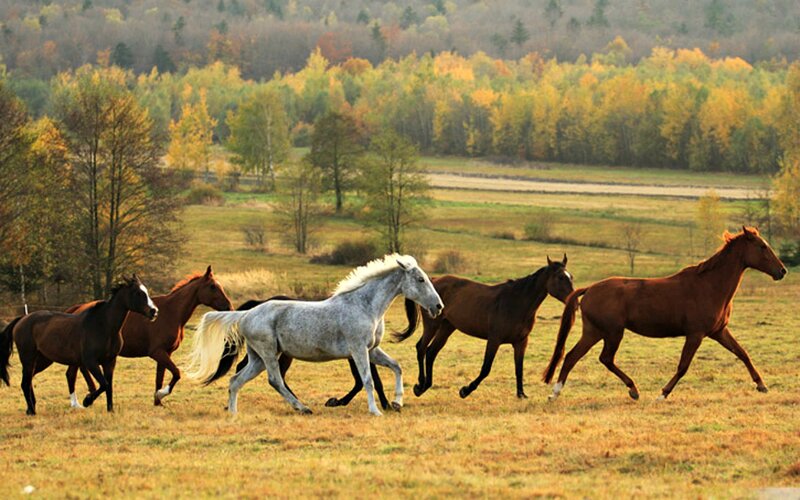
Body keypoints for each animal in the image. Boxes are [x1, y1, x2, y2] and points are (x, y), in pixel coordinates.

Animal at [0, 276, 158, 415]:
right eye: (138, 293)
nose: (154, 311)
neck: (104, 326)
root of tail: (23, 319)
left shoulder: (109, 362)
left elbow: (109, 386)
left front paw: (110, 410)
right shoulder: (91, 362)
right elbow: (104, 384)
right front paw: (87, 401)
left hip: (43, 360)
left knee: (28, 380)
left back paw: (31, 407)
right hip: (28, 358)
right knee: (25, 382)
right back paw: (32, 411)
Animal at [64, 266, 232, 407]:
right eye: (212, 287)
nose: (229, 307)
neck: (171, 312)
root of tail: (77, 309)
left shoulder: (166, 353)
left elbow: (160, 378)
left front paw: (158, 401)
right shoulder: (157, 352)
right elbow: (176, 373)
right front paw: (162, 394)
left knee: (76, 372)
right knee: (74, 373)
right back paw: (85, 400)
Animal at [211, 297, 391, 410]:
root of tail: (252, 309)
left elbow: (367, 379)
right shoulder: (357, 352)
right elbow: (366, 380)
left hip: (269, 355)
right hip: (274, 353)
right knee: (274, 378)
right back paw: (299, 405)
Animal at [393, 255, 574, 400]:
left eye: (570, 276)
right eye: (560, 277)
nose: (573, 297)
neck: (516, 302)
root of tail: (434, 280)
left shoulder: (521, 342)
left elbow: (519, 368)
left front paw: (521, 394)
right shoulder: (494, 340)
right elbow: (486, 368)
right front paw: (465, 390)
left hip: (447, 328)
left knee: (431, 352)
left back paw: (426, 385)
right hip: (433, 325)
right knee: (421, 348)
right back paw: (420, 385)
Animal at [543, 227, 787, 401]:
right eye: (762, 246)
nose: (782, 271)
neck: (709, 285)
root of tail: (590, 289)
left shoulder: (719, 331)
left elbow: (743, 353)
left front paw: (761, 385)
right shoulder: (695, 334)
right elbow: (683, 366)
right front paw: (662, 394)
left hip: (594, 332)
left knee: (571, 356)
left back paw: (556, 392)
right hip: (612, 333)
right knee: (604, 358)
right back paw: (633, 389)